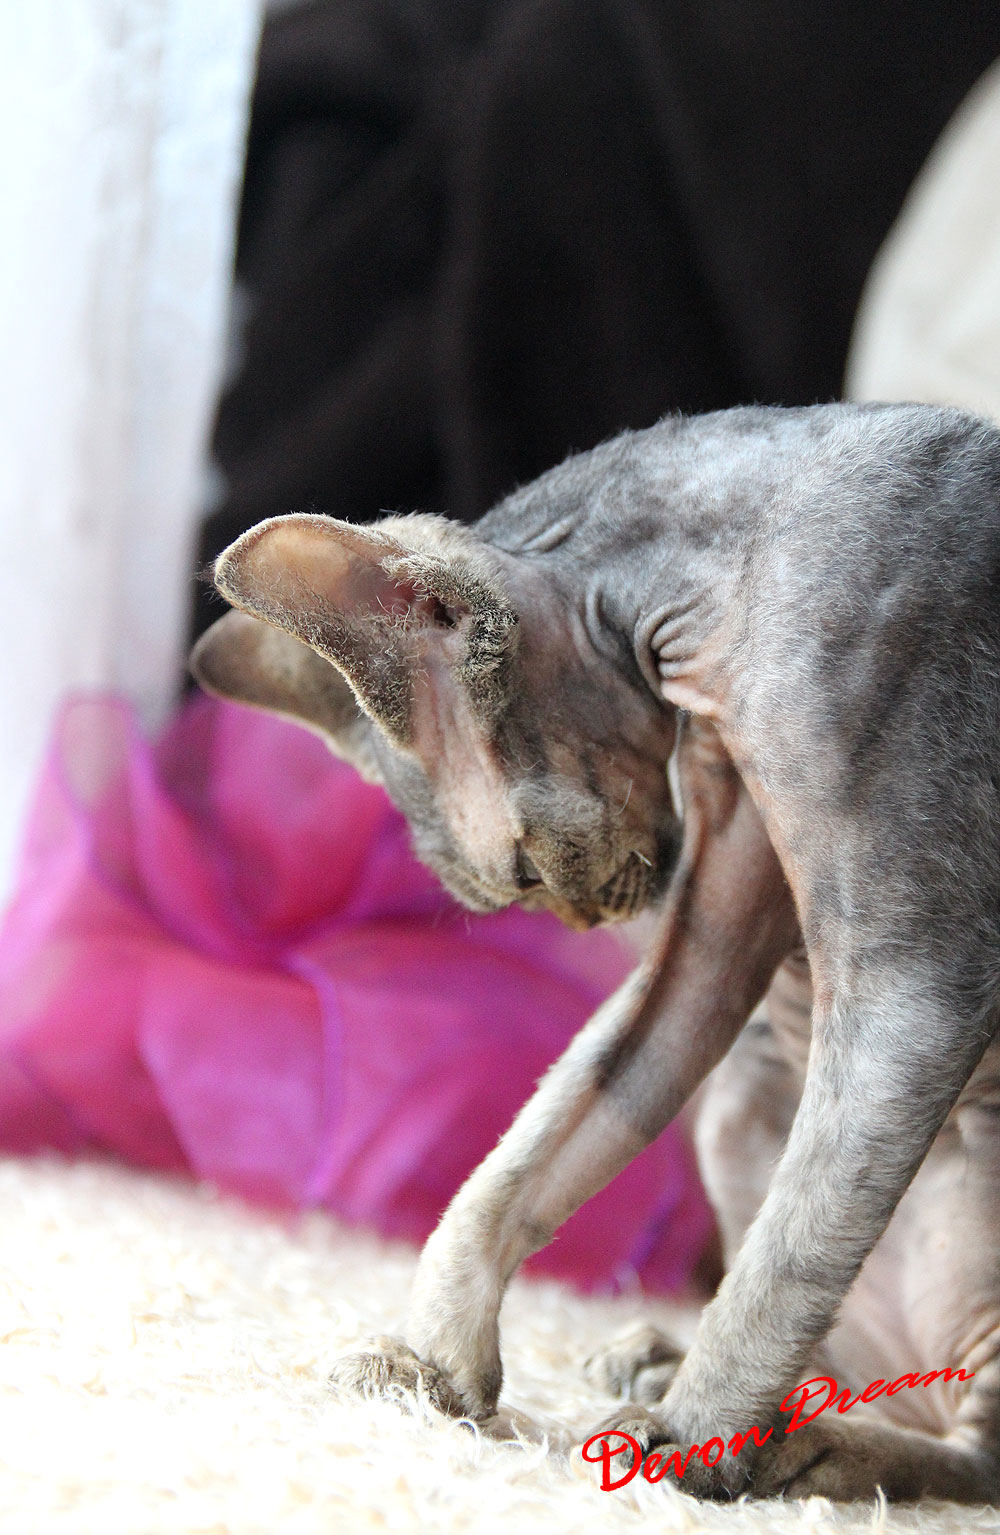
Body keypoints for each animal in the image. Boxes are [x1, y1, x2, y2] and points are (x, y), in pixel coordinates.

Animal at [191, 401, 1000, 1502]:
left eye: (523, 871)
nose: (595, 915)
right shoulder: (716, 931)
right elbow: (531, 1145)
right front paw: (431, 1364)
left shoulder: (914, 981)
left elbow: (790, 1250)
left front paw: (694, 1439)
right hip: (744, 1095)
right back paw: (679, 1359)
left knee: (970, 1443)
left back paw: (804, 1444)